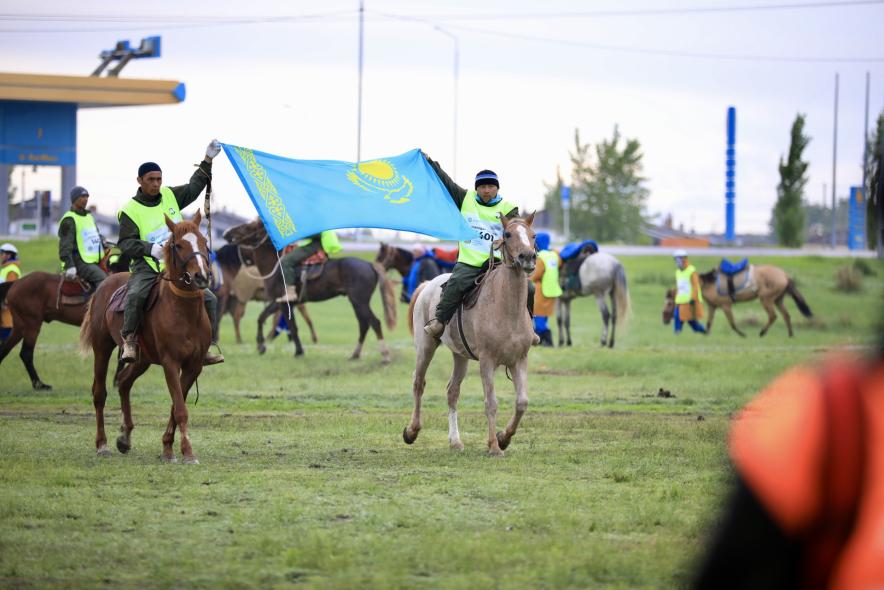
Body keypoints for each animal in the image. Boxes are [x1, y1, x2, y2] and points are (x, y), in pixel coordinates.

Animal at [78, 210, 212, 464]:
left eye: (203, 241)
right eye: (179, 245)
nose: (202, 276)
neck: (184, 312)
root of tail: (104, 284)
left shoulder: (194, 366)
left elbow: (175, 406)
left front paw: (168, 448)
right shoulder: (170, 363)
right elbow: (180, 408)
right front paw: (187, 452)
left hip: (142, 359)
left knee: (123, 382)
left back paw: (124, 438)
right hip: (102, 349)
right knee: (99, 393)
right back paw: (102, 444)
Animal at [224, 220, 398, 364]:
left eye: (250, 227)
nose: (227, 233)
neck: (276, 266)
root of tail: (369, 265)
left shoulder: (285, 303)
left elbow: (292, 327)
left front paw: (298, 352)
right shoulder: (280, 301)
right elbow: (261, 318)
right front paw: (261, 346)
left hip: (359, 302)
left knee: (374, 322)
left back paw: (385, 355)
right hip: (356, 303)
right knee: (364, 325)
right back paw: (355, 355)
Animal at [404, 213, 536, 458]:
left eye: (533, 235)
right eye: (507, 234)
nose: (528, 257)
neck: (507, 307)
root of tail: (428, 285)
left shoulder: (519, 360)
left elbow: (522, 402)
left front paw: (504, 438)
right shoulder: (487, 361)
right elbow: (491, 403)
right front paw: (494, 446)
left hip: (460, 356)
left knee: (452, 392)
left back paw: (455, 442)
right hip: (425, 346)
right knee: (418, 383)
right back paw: (411, 431)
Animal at [664, 264, 816, 338]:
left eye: (669, 303)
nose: (664, 318)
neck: (708, 283)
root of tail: (785, 275)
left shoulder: (726, 305)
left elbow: (732, 323)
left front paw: (742, 334)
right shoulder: (713, 306)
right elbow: (709, 323)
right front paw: (705, 334)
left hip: (766, 299)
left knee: (773, 316)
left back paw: (762, 332)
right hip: (778, 299)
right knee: (786, 315)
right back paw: (790, 335)